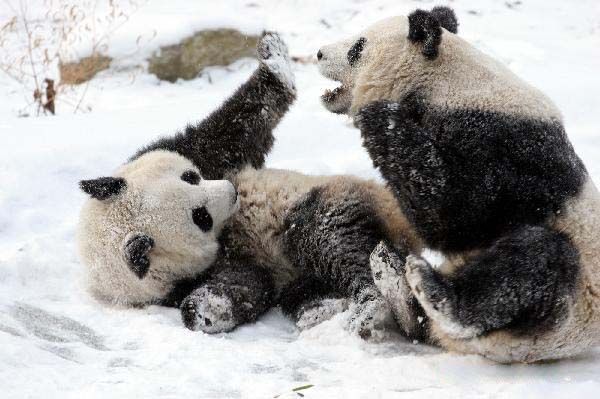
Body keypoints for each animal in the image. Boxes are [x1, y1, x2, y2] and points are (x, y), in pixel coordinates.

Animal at [77, 33, 422, 338]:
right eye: (200, 217)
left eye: (190, 176)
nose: (232, 192)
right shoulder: (185, 279)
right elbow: (245, 287)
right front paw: (206, 311)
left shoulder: (192, 155)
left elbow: (231, 131)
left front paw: (276, 60)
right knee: (325, 250)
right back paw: (348, 306)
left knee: (335, 244)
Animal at [316, 7, 600, 362]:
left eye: (358, 46)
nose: (319, 53)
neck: (444, 82)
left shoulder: (507, 147)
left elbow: (458, 215)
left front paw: (380, 115)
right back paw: (395, 280)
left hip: (571, 300)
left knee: (535, 262)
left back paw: (436, 292)